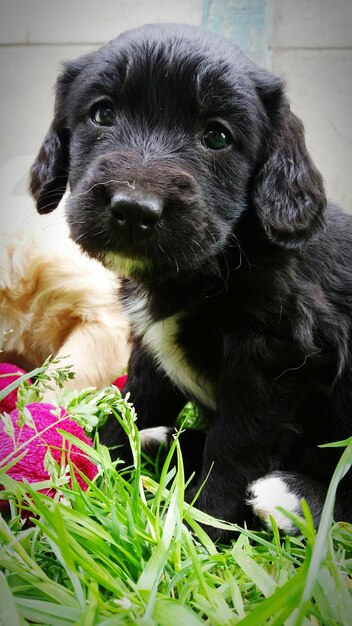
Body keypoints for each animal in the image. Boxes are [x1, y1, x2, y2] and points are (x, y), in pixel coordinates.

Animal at [29, 24, 352, 540]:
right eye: (103, 113)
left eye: (217, 136)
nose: (133, 210)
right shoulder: (149, 348)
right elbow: (135, 401)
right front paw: (99, 468)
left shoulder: (273, 359)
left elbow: (235, 448)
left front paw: (201, 526)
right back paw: (165, 442)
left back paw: (292, 496)